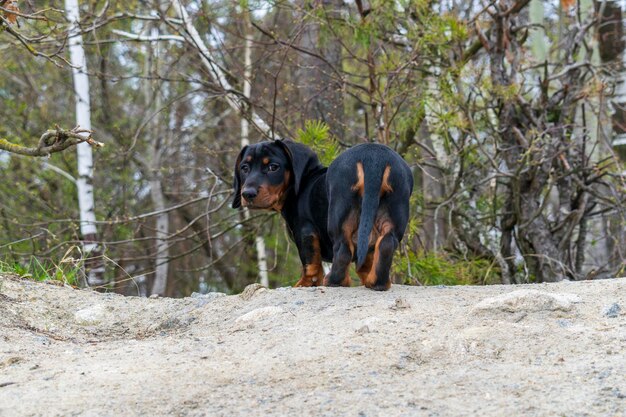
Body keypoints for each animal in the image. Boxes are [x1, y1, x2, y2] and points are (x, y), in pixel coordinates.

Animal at [232, 140, 412, 290]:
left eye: (273, 167)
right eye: (244, 168)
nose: (247, 194)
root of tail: (374, 158)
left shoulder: (305, 231)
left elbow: (310, 263)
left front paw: (305, 283)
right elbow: (366, 262)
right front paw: (367, 276)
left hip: (339, 213)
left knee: (343, 249)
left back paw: (334, 281)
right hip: (393, 208)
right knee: (386, 244)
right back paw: (378, 283)